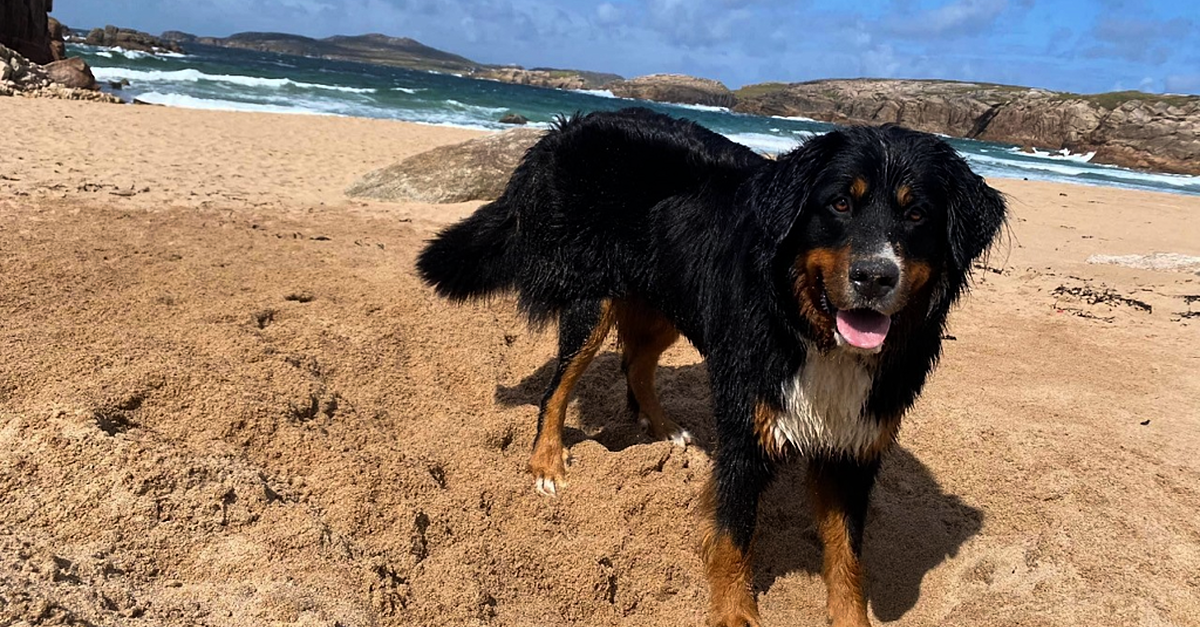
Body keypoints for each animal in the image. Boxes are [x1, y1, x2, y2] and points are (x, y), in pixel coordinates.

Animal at [417, 108, 1008, 624]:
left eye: (916, 214)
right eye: (840, 204)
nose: (875, 276)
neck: (808, 331)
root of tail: (569, 127)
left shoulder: (853, 445)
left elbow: (847, 559)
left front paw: (850, 619)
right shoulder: (748, 428)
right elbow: (734, 537)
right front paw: (734, 614)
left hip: (668, 302)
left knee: (636, 363)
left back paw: (664, 428)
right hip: (593, 299)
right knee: (557, 388)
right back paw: (546, 463)